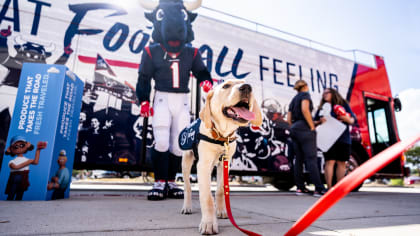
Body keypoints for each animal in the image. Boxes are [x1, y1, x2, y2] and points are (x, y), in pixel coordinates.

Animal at [180, 79, 262, 234]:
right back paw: (187, 207)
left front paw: (221, 211)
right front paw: (208, 223)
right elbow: (207, 197)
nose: (247, 87)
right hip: (186, 162)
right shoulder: (203, 166)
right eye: (226, 86)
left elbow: (220, 190)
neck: (221, 136)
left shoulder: (225, 163)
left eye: (245, 83)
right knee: (187, 187)